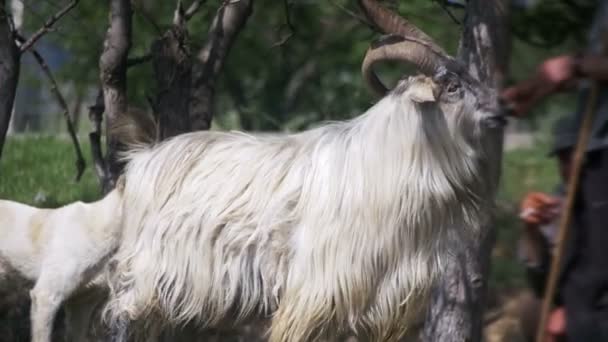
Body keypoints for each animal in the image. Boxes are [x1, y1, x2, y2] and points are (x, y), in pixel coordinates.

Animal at [103, 1, 504, 340]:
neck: (382, 164)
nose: (500, 112)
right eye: (452, 86)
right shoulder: (313, 296)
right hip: (145, 278)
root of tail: (143, 157)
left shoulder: (377, 304)